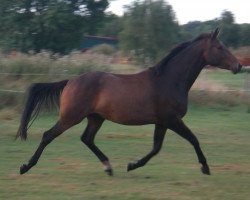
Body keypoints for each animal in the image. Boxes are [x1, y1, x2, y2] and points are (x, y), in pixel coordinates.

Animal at [16, 28, 242, 175]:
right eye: (220, 47)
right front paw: (205, 167)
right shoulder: (172, 120)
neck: (168, 79)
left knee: (87, 139)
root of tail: (70, 81)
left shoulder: (162, 122)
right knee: (48, 135)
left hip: (95, 118)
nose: (239, 66)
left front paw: (132, 165)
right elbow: (193, 139)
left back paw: (108, 167)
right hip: (71, 117)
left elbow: (156, 148)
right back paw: (25, 166)